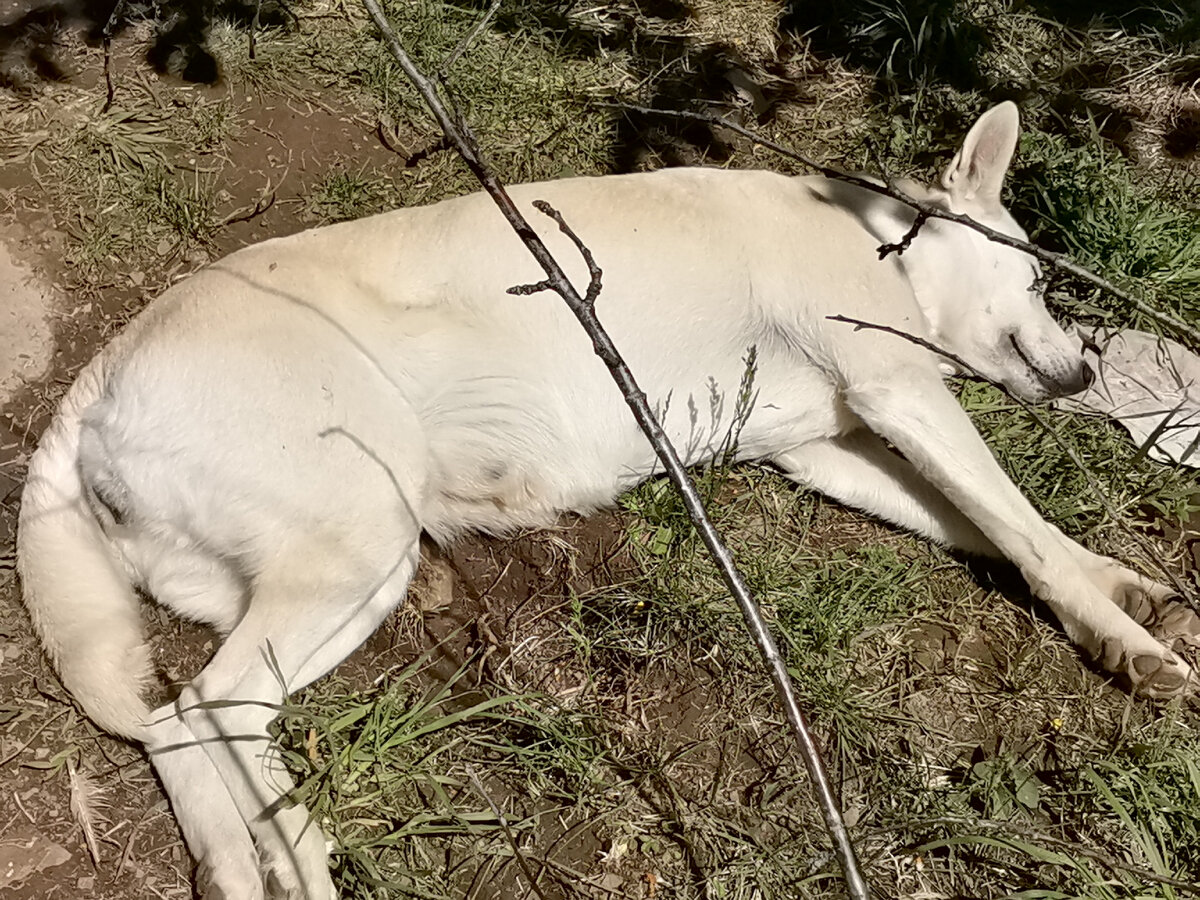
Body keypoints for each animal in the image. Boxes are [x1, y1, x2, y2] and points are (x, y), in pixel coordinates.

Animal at [18, 105, 1200, 900]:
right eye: (1040, 282)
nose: (1085, 373)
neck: (882, 243)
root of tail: (95, 385)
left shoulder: (833, 448)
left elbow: (997, 529)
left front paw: (1122, 593)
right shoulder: (898, 390)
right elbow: (1016, 523)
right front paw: (1127, 642)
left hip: (315, 577)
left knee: (193, 720)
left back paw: (259, 858)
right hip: (364, 541)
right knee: (211, 708)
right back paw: (279, 855)